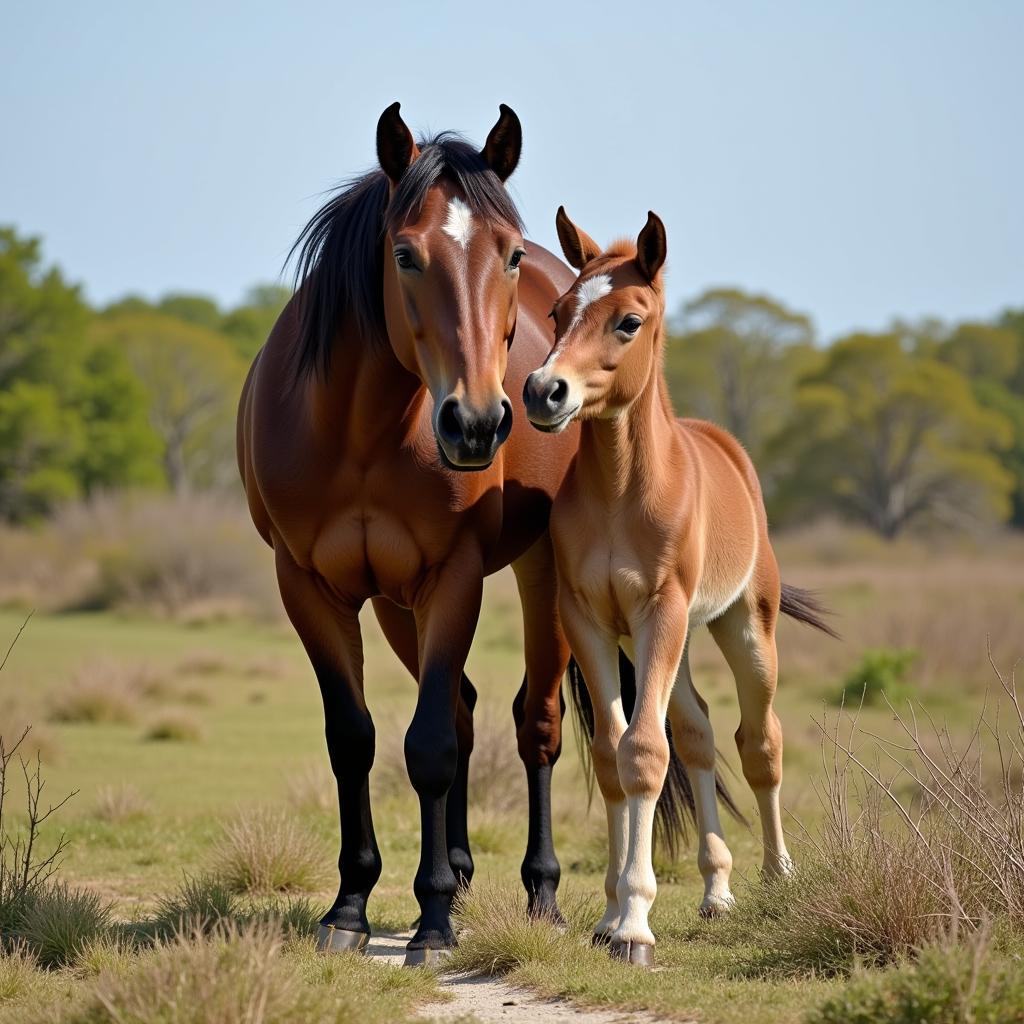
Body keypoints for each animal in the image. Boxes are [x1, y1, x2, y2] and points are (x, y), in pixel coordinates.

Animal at [236, 101, 585, 958]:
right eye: (404, 254)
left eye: (510, 255)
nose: (478, 423)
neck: (359, 430)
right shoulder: (310, 585)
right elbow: (355, 738)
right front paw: (350, 907)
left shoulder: (452, 576)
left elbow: (427, 748)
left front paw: (430, 923)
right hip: (397, 605)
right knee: (461, 704)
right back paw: (457, 872)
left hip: (541, 574)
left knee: (535, 723)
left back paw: (540, 894)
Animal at [524, 209, 835, 966]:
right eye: (558, 311)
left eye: (629, 321)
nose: (545, 391)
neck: (620, 490)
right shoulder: (588, 620)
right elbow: (613, 753)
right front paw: (611, 913)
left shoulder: (657, 613)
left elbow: (643, 752)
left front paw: (635, 923)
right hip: (683, 639)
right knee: (696, 732)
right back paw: (717, 891)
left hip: (742, 627)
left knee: (758, 741)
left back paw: (777, 877)